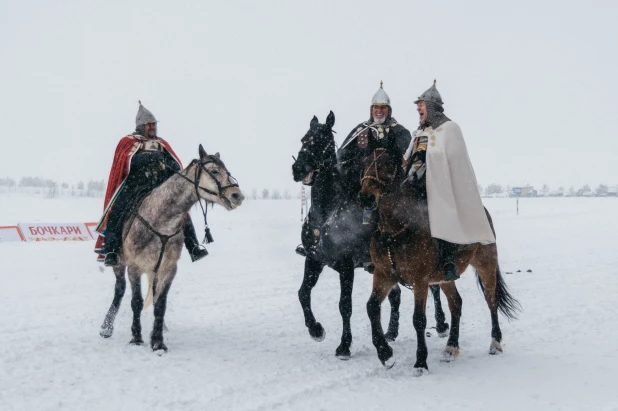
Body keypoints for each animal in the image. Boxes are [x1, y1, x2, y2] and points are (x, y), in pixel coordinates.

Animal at [98, 146, 243, 354]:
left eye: (226, 170)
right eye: (215, 171)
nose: (237, 196)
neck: (160, 219)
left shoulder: (168, 268)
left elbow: (160, 303)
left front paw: (158, 341)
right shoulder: (135, 266)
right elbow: (136, 301)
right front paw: (136, 338)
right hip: (119, 262)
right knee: (120, 289)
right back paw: (106, 327)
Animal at [292, 113, 446, 360]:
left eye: (323, 140)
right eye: (304, 139)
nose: (298, 168)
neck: (327, 214)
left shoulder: (346, 266)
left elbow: (345, 306)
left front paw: (344, 346)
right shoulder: (314, 259)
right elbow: (303, 293)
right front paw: (316, 330)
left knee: (434, 287)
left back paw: (441, 325)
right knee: (395, 296)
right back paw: (391, 332)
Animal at [356, 148, 520, 376]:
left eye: (387, 164)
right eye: (364, 164)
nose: (365, 197)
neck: (396, 231)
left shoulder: (420, 280)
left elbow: (419, 319)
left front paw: (420, 362)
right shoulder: (384, 275)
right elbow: (371, 307)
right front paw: (385, 354)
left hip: (486, 264)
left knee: (491, 300)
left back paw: (495, 343)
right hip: (445, 278)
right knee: (456, 303)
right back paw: (451, 347)